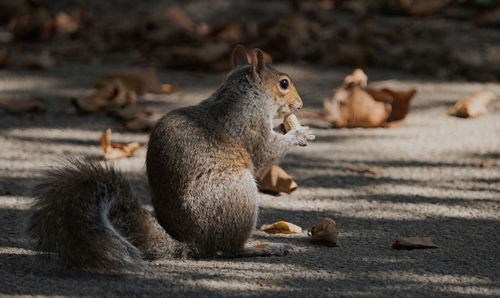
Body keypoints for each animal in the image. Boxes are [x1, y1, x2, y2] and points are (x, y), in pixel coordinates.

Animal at [27, 45, 314, 272]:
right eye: (284, 83)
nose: (301, 105)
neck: (245, 96)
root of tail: (194, 244)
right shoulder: (247, 125)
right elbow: (267, 150)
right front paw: (300, 133)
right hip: (238, 194)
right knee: (229, 249)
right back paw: (263, 247)